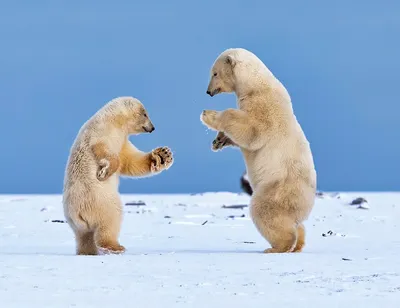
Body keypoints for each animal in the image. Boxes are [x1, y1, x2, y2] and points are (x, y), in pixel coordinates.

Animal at [63, 96, 173, 255]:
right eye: (145, 114)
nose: (152, 128)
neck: (114, 120)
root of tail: (77, 214)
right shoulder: (101, 131)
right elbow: (105, 151)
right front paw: (104, 172)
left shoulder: (122, 140)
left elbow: (129, 161)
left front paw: (162, 155)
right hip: (100, 201)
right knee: (111, 219)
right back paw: (115, 246)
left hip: (77, 225)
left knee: (84, 237)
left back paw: (87, 252)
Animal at [202, 48, 318, 254]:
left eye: (214, 73)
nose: (208, 92)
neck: (255, 84)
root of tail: (308, 202)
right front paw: (217, 141)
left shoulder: (263, 106)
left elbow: (251, 130)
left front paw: (208, 114)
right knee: (296, 224)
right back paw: (298, 244)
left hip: (278, 188)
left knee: (264, 211)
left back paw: (278, 247)